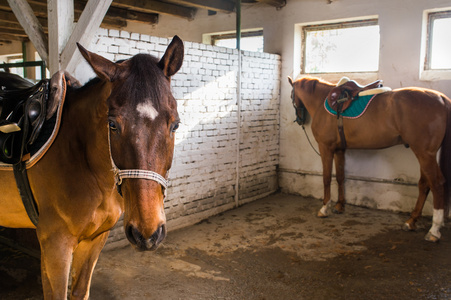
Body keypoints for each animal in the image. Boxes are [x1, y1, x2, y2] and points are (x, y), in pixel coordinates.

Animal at [0, 35, 184, 298]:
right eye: (113, 124)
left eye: (175, 124)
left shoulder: (94, 240)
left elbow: (80, 292)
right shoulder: (55, 245)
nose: (147, 233)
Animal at [290, 76, 451, 243]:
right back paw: (411, 221)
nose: (300, 120)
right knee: (424, 184)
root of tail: (441, 98)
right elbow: (340, 177)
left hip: (425, 154)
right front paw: (340, 205)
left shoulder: (325, 147)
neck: (322, 101)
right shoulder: (340, 150)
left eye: (291, 96)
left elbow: (327, 178)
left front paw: (324, 208)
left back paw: (434, 230)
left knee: (437, 184)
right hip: (423, 153)